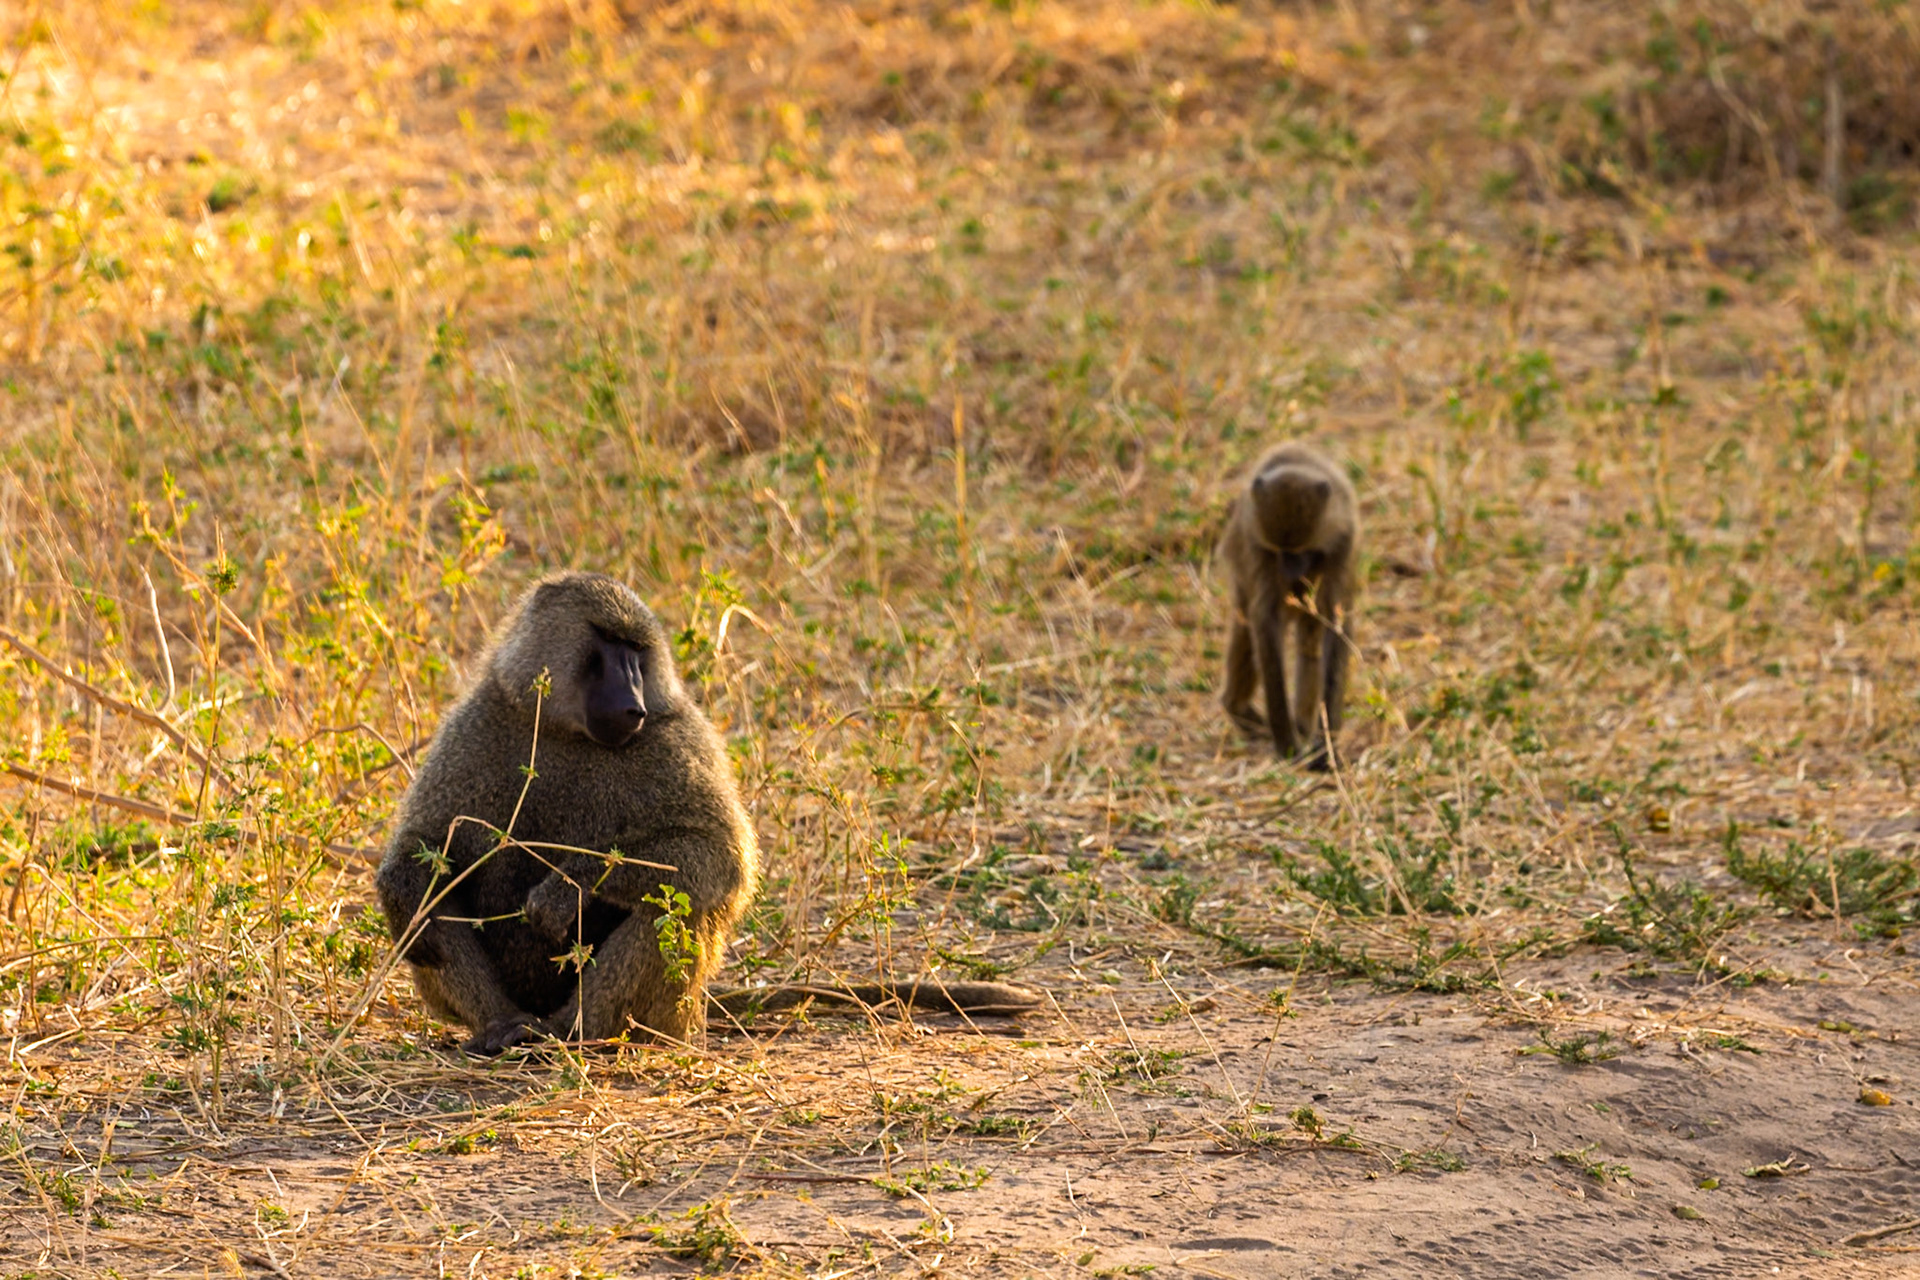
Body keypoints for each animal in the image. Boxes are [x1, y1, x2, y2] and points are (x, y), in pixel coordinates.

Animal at [1217, 442, 1358, 770]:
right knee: (1246, 630)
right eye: (1280, 551)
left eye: (1301, 551)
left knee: (1309, 643)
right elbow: (1265, 622)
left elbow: (1334, 621)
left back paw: (1304, 723)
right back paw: (1237, 707)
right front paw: (1288, 744)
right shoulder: (1258, 544)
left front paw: (1325, 745)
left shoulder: (1343, 540)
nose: (1291, 573)